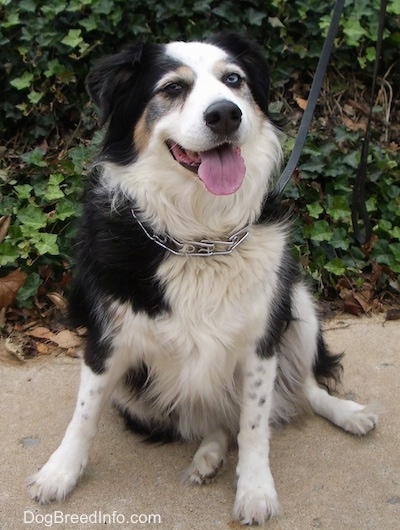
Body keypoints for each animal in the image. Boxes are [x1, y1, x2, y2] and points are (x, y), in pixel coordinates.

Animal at [28, 34, 378, 524]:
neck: (200, 239)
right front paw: (59, 473)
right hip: (137, 394)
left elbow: (254, 426)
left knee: (302, 388)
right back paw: (207, 458)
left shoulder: (260, 340)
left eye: (233, 80)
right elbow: (84, 413)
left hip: (297, 302)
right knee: (209, 421)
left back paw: (348, 413)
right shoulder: (109, 339)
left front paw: (255, 490)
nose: (226, 114)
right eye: (173, 88)